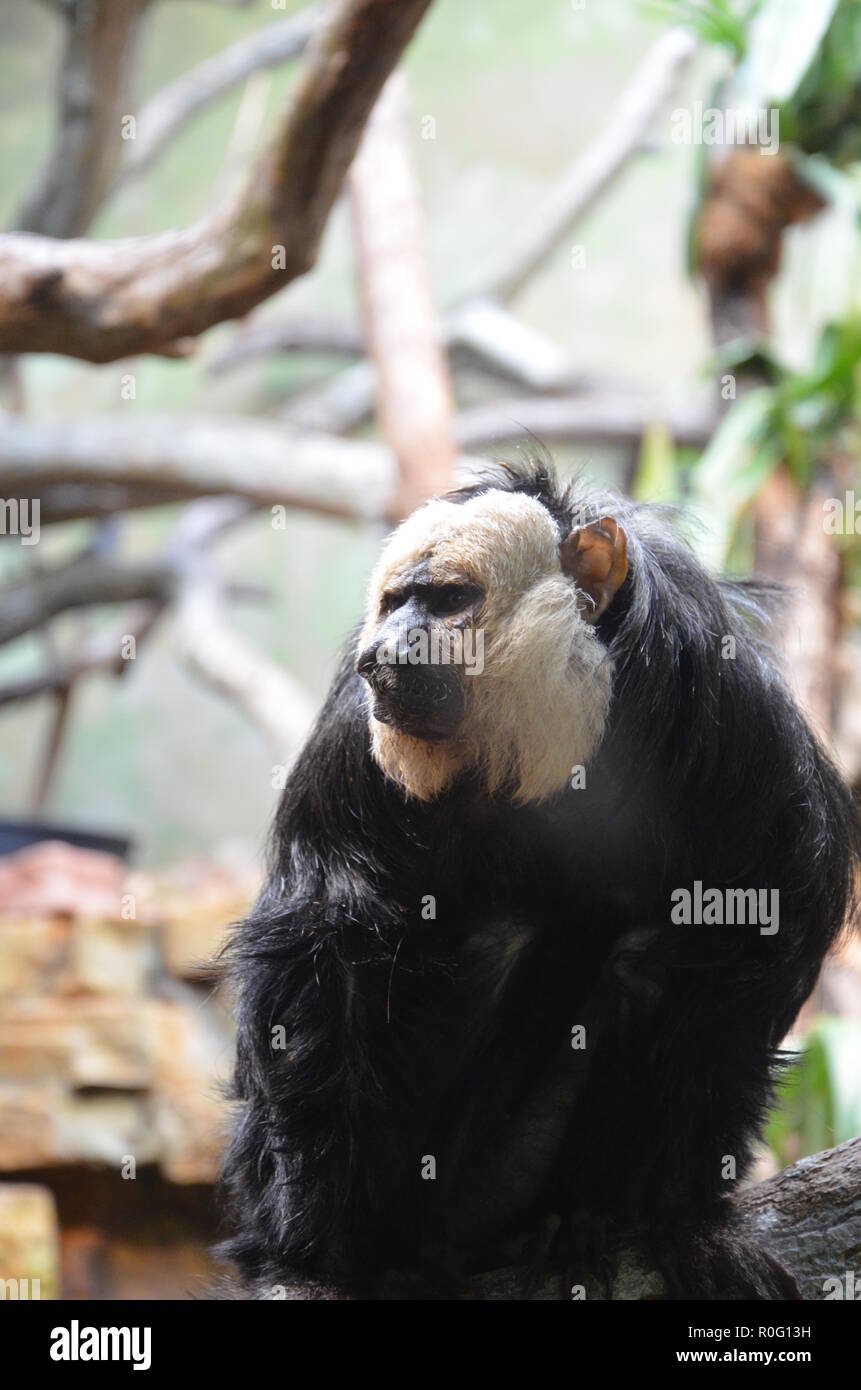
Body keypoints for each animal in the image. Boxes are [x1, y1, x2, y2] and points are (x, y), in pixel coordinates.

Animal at [217, 457, 859, 1300]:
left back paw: (571, 1218)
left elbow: (744, 948)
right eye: (392, 604)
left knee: (640, 956)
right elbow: (329, 944)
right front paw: (325, 1246)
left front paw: (680, 1217)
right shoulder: (353, 741)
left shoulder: (732, 720)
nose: (383, 649)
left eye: (446, 599)